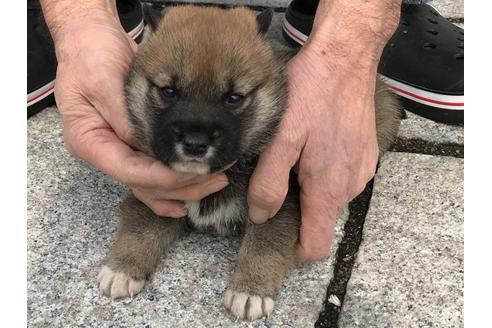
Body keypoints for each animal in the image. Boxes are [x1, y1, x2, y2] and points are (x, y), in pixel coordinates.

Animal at [96, 3, 400, 320]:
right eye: (168, 91)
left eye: (233, 98)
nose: (195, 144)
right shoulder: (154, 193)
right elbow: (142, 225)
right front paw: (122, 270)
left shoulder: (280, 203)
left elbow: (264, 241)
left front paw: (250, 290)